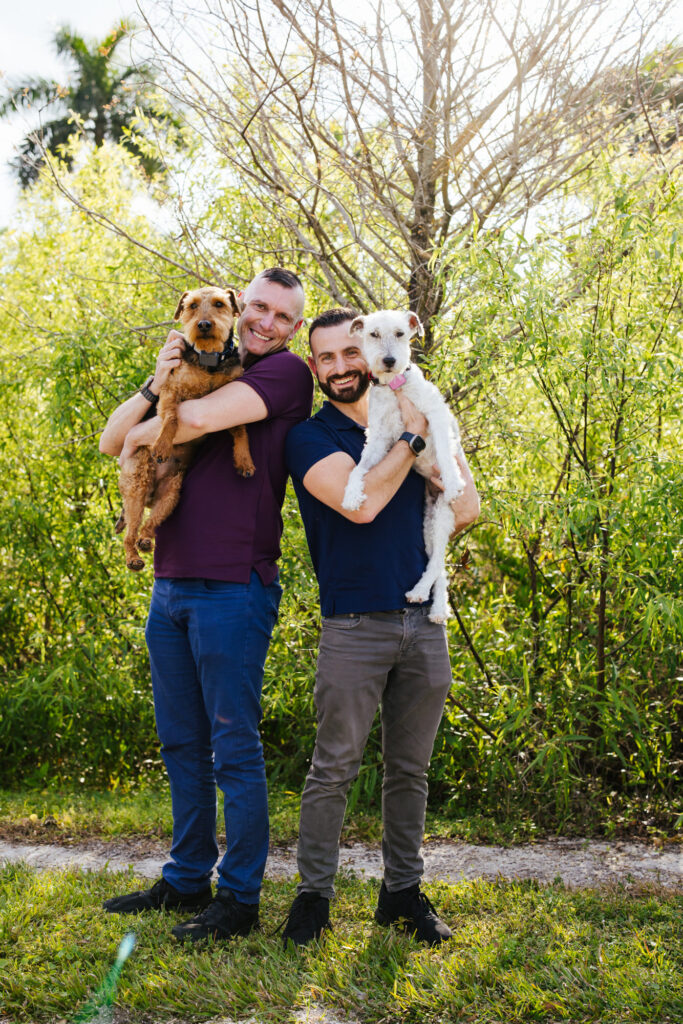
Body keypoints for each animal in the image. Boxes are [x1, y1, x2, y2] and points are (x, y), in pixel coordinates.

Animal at [116, 288, 254, 573]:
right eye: (191, 306)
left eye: (219, 304)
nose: (204, 325)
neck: (209, 357)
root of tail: (150, 494)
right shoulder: (172, 388)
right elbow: (171, 418)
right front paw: (162, 445)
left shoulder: (233, 391)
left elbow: (240, 430)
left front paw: (244, 460)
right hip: (136, 487)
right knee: (129, 532)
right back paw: (133, 557)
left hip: (171, 494)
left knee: (150, 525)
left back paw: (146, 541)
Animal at [342, 307, 464, 618]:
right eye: (373, 334)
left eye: (400, 333)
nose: (388, 361)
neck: (394, 386)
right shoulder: (379, 438)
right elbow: (358, 469)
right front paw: (351, 495)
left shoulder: (435, 415)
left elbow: (444, 450)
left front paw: (453, 479)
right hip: (428, 525)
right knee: (439, 568)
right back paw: (434, 605)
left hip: (442, 515)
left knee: (437, 564)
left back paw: (423, 595)